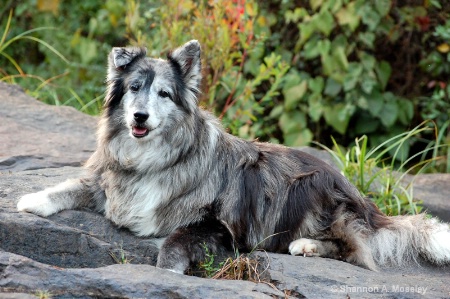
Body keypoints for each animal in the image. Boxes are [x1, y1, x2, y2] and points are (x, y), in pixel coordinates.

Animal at [17, 39, 450, 274]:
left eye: (164, 94)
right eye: (135, 88)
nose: (139, 117)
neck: (153, 157)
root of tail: (365, 201)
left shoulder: (219, 226)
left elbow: (172, 244)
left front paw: (167, 272)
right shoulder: (108, 180)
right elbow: (72, 185)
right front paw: (34, 199)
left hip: (308, 191)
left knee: (354, 248)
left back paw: (308, 246)